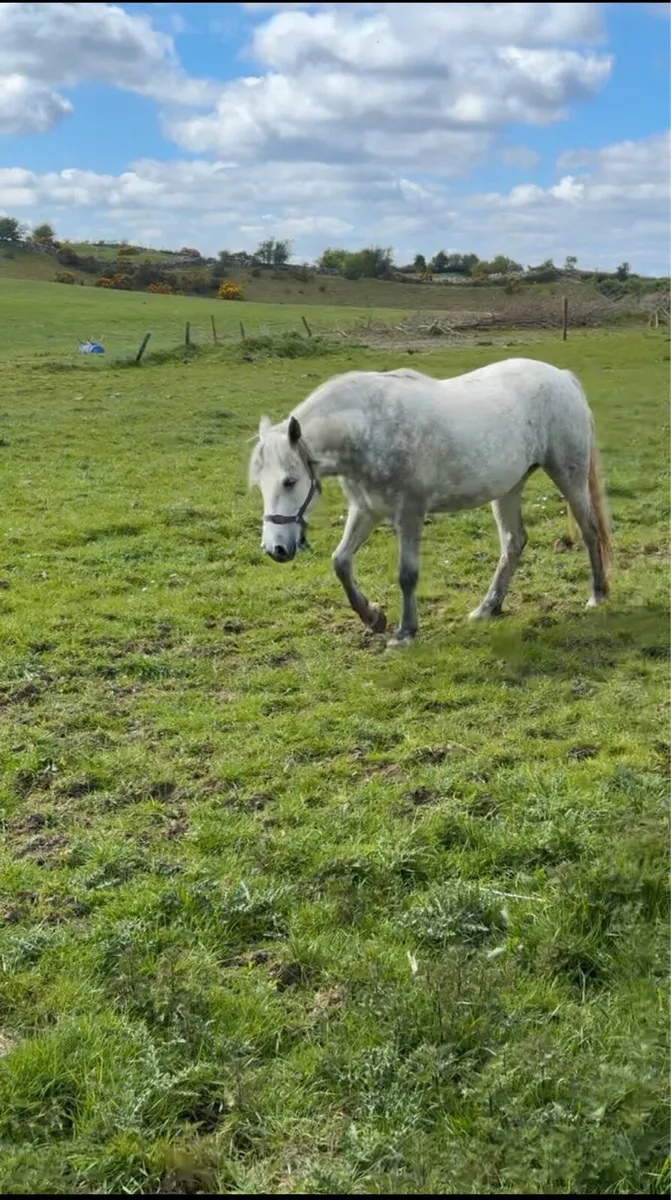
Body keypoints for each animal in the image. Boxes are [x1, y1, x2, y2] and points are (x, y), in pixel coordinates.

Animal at [248, 358, 611, 645]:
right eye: (260, 485)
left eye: (290, 481)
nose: (275, 549)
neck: (369, 429)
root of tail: (562, 377)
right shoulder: (366, 509)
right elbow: (341, 561)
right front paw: (373, 617)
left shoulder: (409, 512)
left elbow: (407, 573)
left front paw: (405, 632)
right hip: (508, 488)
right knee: (514, 542)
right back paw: (487, 608)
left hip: (568, 475)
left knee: (589, 530)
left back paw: (597, 594)